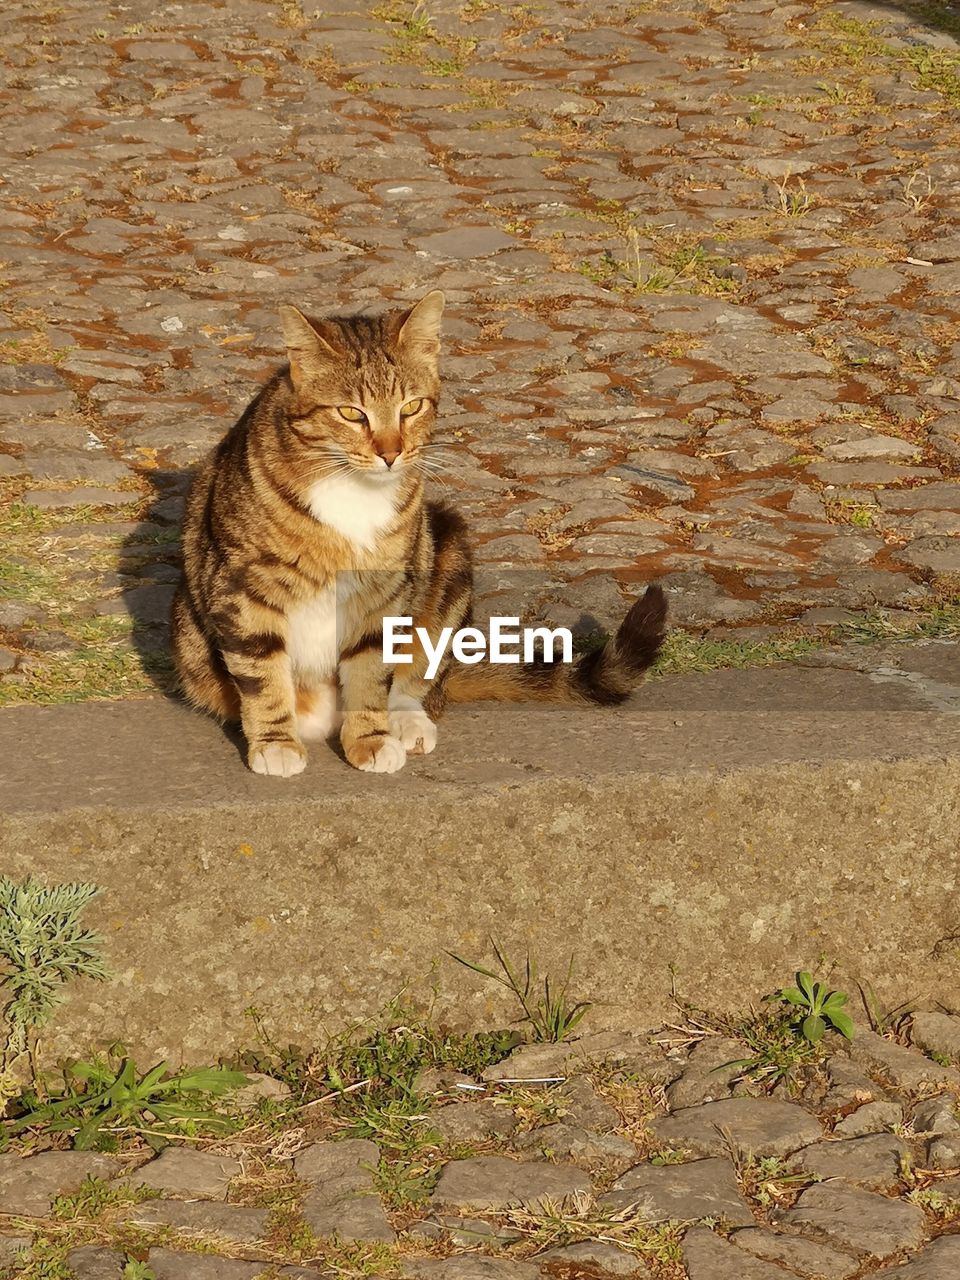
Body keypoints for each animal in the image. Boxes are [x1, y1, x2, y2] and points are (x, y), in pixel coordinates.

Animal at [172, 294, 670, 773]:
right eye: (351, 413)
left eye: (411, 407)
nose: (391, 453)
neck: (350, 485)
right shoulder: (241, 587)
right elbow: (262, 673)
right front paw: (276, 744)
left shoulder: (384, 591)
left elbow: (371, 670)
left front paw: (370, 740)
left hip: (446, 549)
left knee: (420, 676)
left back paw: (405, 721)